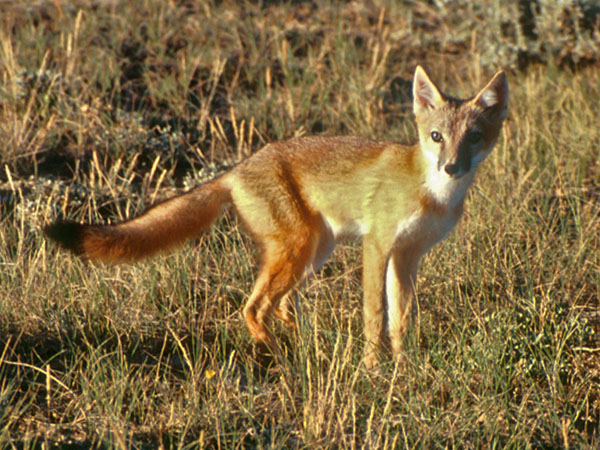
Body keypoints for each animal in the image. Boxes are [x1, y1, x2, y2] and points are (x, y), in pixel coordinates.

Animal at [44, 67, 508, 368]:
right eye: (436, 137)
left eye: (473, 138)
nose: (451, 167)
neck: (432, 194)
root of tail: (235, 169)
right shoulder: (377, 246)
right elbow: (375, 315)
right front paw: (374, 369)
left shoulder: (408, 255)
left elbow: (400, 318)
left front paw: (402, 366)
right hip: (297, 250)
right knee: (252, 309)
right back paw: (279, 354)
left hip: (314, 253)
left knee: (279, 305)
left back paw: (302, 343)